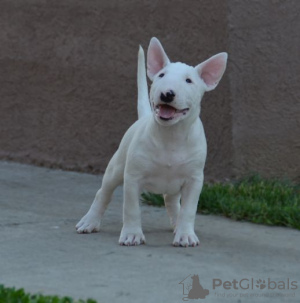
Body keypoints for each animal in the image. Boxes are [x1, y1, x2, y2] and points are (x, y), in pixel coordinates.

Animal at [75, 37, 227, 247]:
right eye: (161, 75)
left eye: (189, 81)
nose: (167, 94)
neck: (171, 135)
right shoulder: (133, 176)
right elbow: (131, 208)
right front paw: (132, 234)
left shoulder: (194, 179)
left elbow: (189, 210)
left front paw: (186, 234)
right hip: (116, 168)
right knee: (103, 193)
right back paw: (89, 222)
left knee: (171, 201)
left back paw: (177, 225)